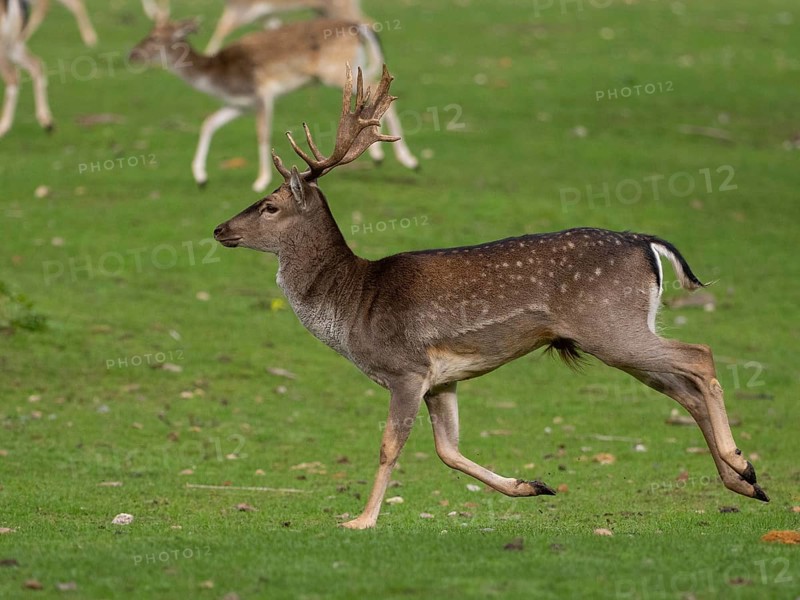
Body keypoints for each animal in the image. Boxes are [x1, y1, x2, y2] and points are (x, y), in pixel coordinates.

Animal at [205, 0, 365, 55]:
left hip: (338, 9)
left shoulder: (244, 10)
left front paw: (209, 53)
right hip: (325, 11)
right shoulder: (265, 15)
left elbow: (221, 29)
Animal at [214, 65, 769, 529]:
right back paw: (746, 482)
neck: (352, 306)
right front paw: (533, 485)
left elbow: (390, 447)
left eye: (269, 205)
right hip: (623, 332)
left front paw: (360, 520)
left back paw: (740, 464)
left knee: (699, 356)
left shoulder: (405, 368)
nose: (220, 229)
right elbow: (448, 450)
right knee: (682, 388)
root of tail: (648, 244)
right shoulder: (441, 379)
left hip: (611, 325)